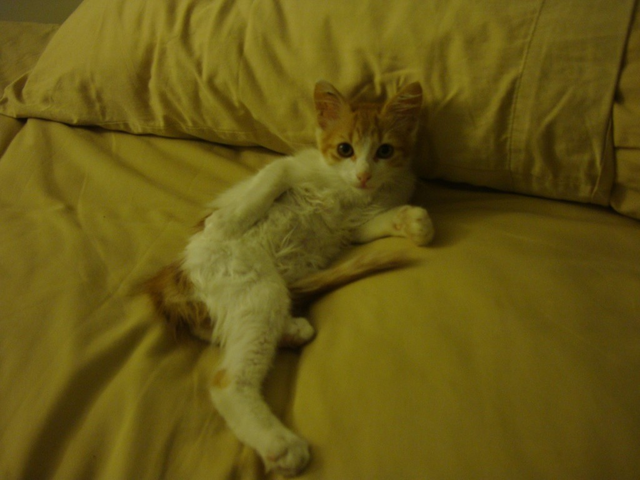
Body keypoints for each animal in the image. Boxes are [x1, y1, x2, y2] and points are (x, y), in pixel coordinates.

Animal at [146, 80, 434, 476]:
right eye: (345, 149)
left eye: (385, 151)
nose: (363, 175)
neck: (350, 192)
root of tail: (178, 274)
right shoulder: (290, 165)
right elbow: (274, 176)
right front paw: (228, 220)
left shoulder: (358, 225)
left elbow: (381, 220)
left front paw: (415, 222)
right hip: (254, 284)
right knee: (226, 380)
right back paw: (279, 444)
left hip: (253, 296)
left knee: (215, 329)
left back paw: (293, 330)